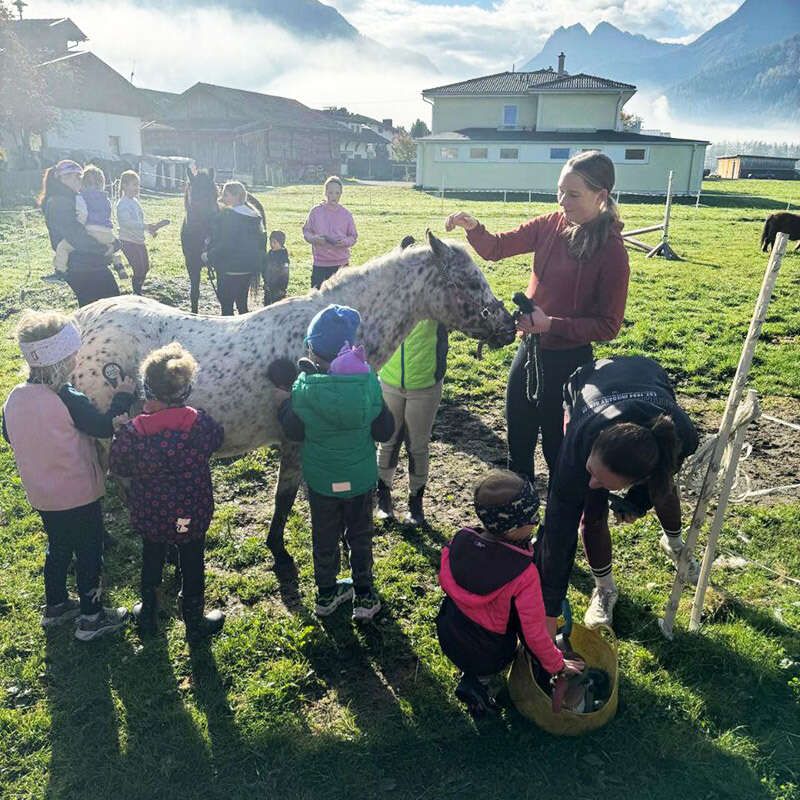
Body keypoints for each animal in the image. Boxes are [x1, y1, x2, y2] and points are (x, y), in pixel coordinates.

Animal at [72, 234, 516, 572]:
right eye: (470, 283)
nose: (509, 327)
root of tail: (84, 321)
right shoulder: (296, 441)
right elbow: (287, 497)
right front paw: (281, 549)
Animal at [180, 169, 268, 312]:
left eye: (215, 194)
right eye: (195, 195)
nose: (214, 226)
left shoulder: (220, 269)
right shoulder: (191, 264)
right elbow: (194, 294)